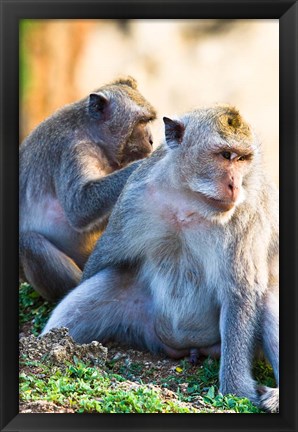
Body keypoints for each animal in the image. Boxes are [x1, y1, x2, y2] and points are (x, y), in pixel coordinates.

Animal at [19, 77, 156, 300]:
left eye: (148, 121)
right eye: (141, 122)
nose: (151, 140)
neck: (92, 134)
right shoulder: (74, 149)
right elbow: (80, 206)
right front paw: (145, 165)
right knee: (29, 243)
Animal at [42, 104, 280, 412]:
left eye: (243, 159)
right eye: (226, 155)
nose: (235, 185)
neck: (189, 202)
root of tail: (187, 348)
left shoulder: (245, 215)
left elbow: (241, 292)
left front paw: (236, 390)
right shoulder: (134, 197)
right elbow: (102, 261)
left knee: (268, 295)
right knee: (105, 284)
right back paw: (54, 345)